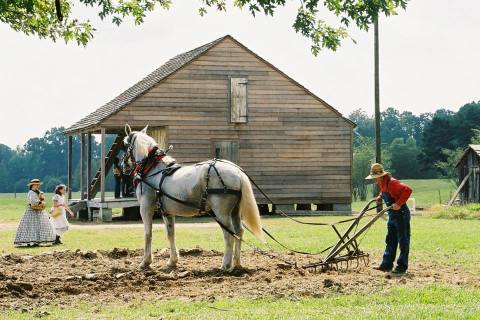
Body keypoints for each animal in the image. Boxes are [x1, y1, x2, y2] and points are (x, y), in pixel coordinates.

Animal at [120, 124, 262, 270]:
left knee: (229, 234)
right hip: (235, 211)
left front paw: (145, 262)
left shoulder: (146, 208)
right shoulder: (167, 212)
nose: (123, 166)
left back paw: (225, 265)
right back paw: (237, 263)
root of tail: (237, 172)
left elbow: (148, 234)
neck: (152, 168)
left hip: (221, 213)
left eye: (124, 144)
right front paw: (172, 261)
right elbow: (170, 234)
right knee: (239, 232)